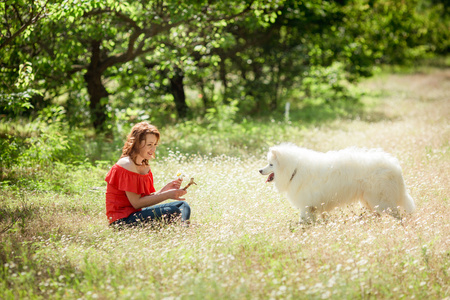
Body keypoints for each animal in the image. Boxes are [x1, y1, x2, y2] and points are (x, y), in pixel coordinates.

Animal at [258, 143, 416, 223]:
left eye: (270, 164)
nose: (259, 170)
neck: (294, 170)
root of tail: (394, 166)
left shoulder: (306, 205)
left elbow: (303, 220)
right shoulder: (312, 206)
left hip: (381, 201)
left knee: (397, 215)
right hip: (370, 201)